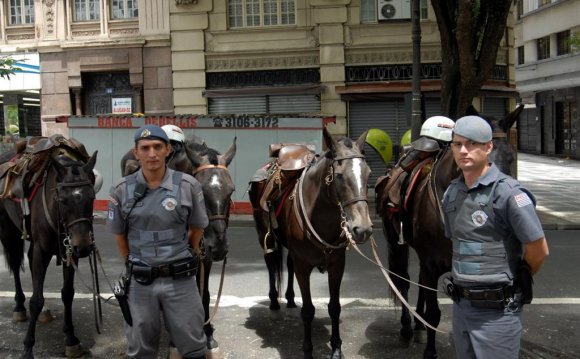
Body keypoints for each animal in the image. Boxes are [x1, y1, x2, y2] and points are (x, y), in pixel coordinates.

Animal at [0, 138, 97, 359]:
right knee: (16, 263)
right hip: (9, 231)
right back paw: (19, 306)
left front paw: (71, 339)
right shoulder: (42, 252)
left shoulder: (70, 252)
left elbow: (68, 294)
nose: (84, 247)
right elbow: (36, 300)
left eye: (92, 197)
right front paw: (28, 347)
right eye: (62, 199)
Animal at [248, 128, 374, 358]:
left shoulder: (337, 265)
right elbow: (308, 310)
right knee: (271, 263)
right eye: (339, 175)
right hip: (263, 232)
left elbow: (335, 307)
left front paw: (336, 348)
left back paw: (289, 300)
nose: (363, 229)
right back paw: (274, 303)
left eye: (368, 173)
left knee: (288, 263)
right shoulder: (304, 266)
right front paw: (307, 349)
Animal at [378, 106, 524, 359]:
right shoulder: (430, 263)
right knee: (402, 280)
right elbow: (434, 312)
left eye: (510, 157)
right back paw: (407, 328)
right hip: (397, 243)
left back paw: (417, 325)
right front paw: (430, 352)